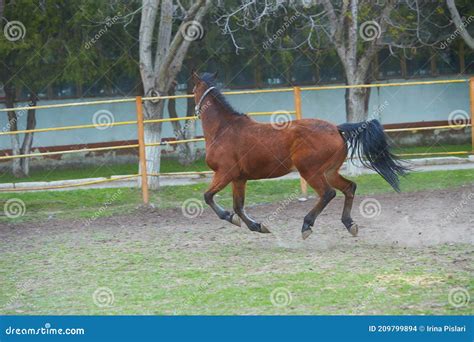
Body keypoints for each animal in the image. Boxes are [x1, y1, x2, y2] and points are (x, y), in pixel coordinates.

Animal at [192, 71, 408, 240]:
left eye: (193, 91)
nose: (195, 112)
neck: (223, 129)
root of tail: (337, 129)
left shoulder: (224, 173)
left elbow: (208, 196)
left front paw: (231, 218)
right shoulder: (239, 178)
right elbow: (238, 206)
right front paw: (258, 226)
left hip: (310, 171)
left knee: (328, 193)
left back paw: (307, 225)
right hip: (329, 171)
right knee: (349, 187)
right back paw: (349, 224)